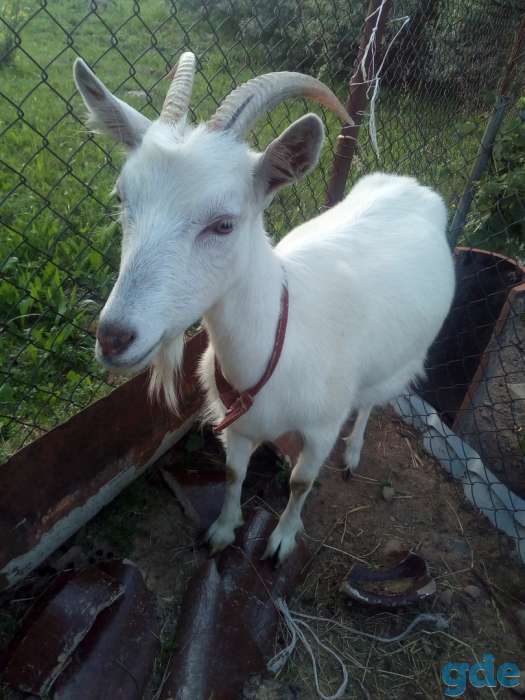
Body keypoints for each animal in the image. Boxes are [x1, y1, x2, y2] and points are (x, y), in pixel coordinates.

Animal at [74, 52, 455, 563]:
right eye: (121, 198)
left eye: (223, 224)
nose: (114, 337)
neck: (280, 341)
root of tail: (414, 187)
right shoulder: (237, 425)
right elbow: (233, 473)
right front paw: (222, 530)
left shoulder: (321, 428)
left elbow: (301, 482)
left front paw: (281, 540)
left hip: (402, 359)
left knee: (372, 401)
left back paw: (354, 453)